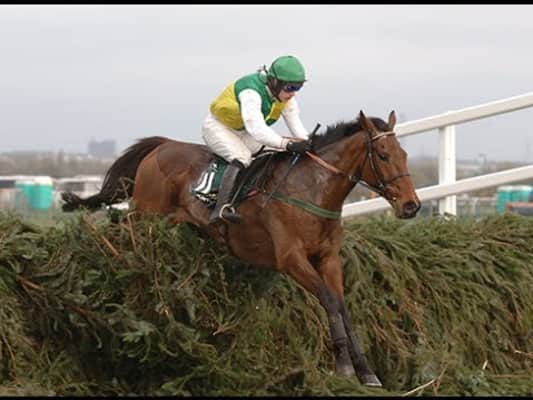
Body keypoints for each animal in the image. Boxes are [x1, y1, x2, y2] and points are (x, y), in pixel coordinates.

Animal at [61, 110, 421, 387]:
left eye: (405, 155)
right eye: (384, 155)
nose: (411, 206)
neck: (313, 190)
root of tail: (161, 147)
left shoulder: (328, 258)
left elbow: (343, 307)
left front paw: (367, 372)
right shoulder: (291, 259)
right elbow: (329, 301)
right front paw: (344, 367)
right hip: (145, 214)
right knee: (119, 229)